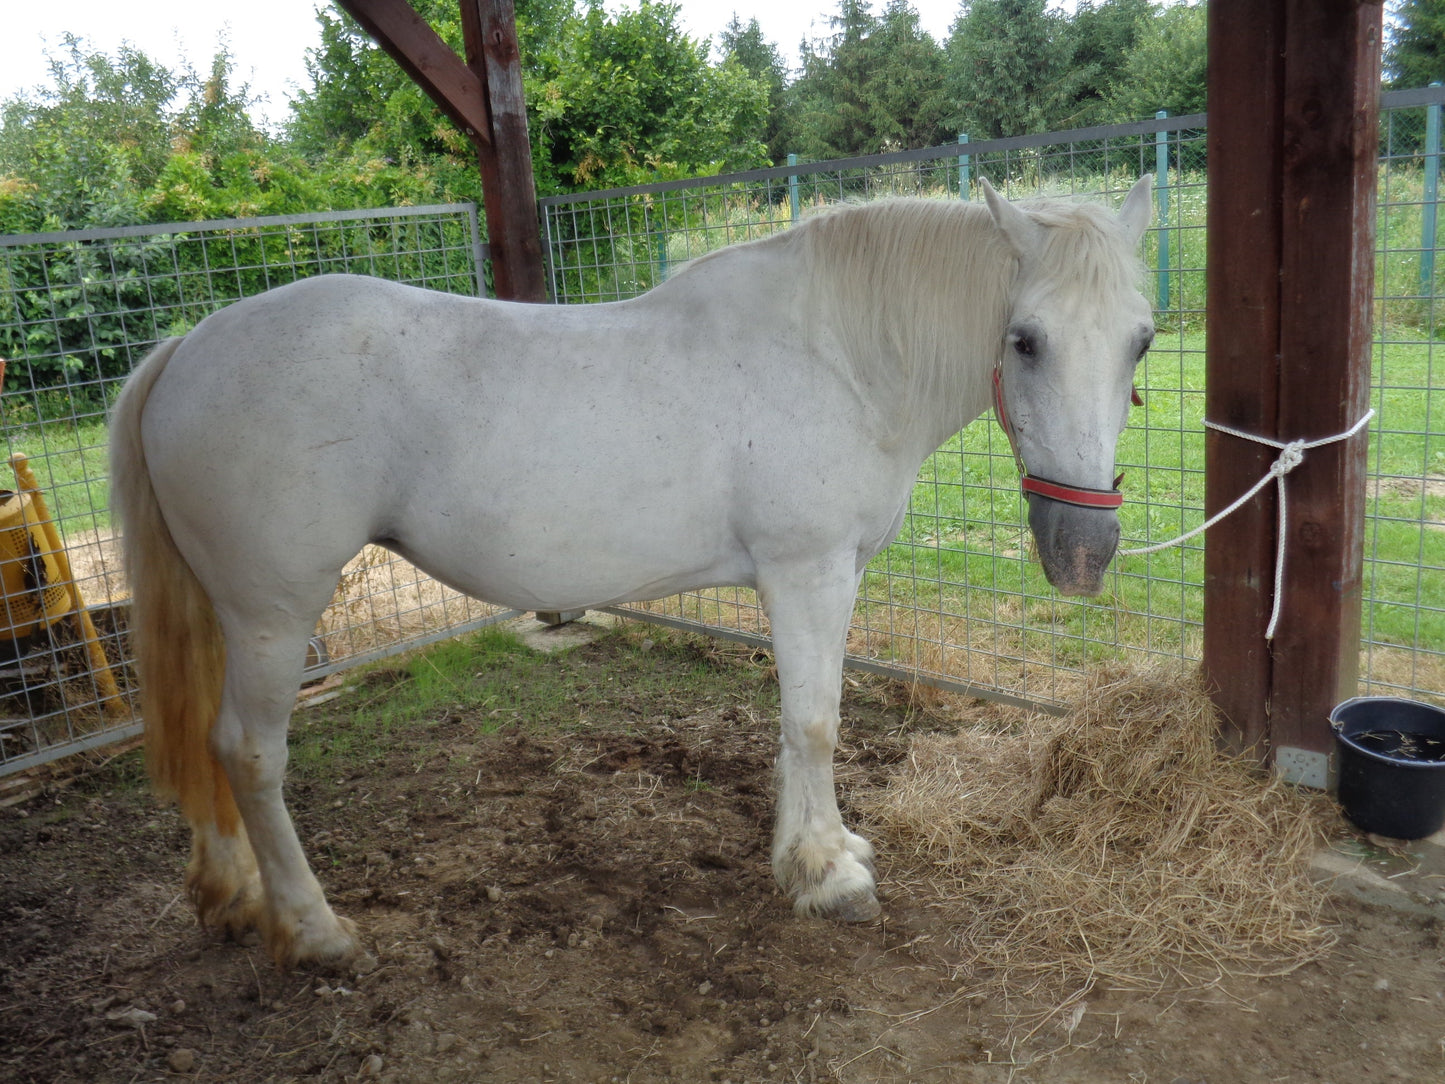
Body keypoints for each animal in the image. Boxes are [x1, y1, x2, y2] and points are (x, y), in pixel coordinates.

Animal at [109, 176, 1155, 968]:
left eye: (1140, 340)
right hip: (274, 613)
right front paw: (830, 876)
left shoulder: (821, 578)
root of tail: (188, 348)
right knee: (250, 751)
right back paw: (314, 929)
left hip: (230, 612)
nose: (1082, 552)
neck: (841, 356)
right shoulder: (808, 572)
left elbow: (794, 723)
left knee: (206, 737)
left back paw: (232, 897)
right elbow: (814, 724)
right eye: (1024, 339)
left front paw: (810, 853)